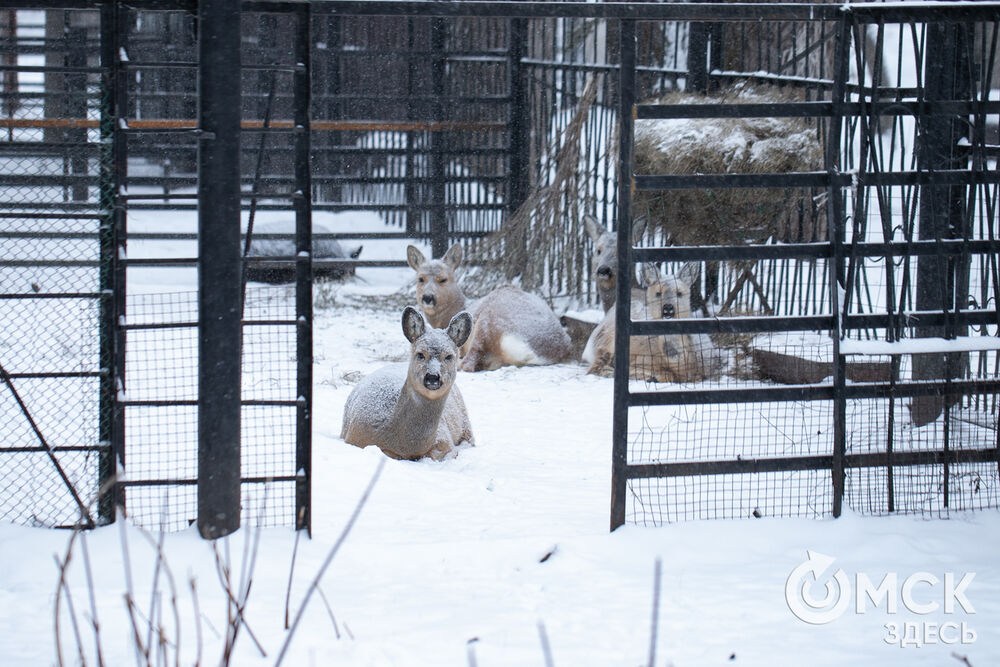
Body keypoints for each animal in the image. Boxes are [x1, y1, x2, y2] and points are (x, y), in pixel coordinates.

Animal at [340, 306, 472, 460]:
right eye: (420, 354)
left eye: (449, 356)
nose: (432, 377)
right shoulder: (354, 437)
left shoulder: (445, 437)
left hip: (465, 420)